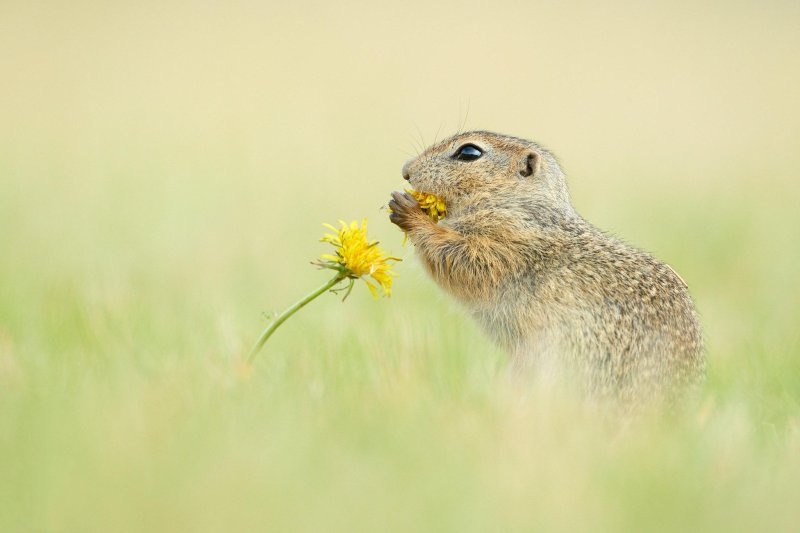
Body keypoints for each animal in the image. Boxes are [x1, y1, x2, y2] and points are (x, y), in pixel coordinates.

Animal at [390, 131, 704, 402]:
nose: (406, 170)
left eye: (469, 152)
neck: (519, 205)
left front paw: (410, 212)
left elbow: (463, 260)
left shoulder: (509, 243)